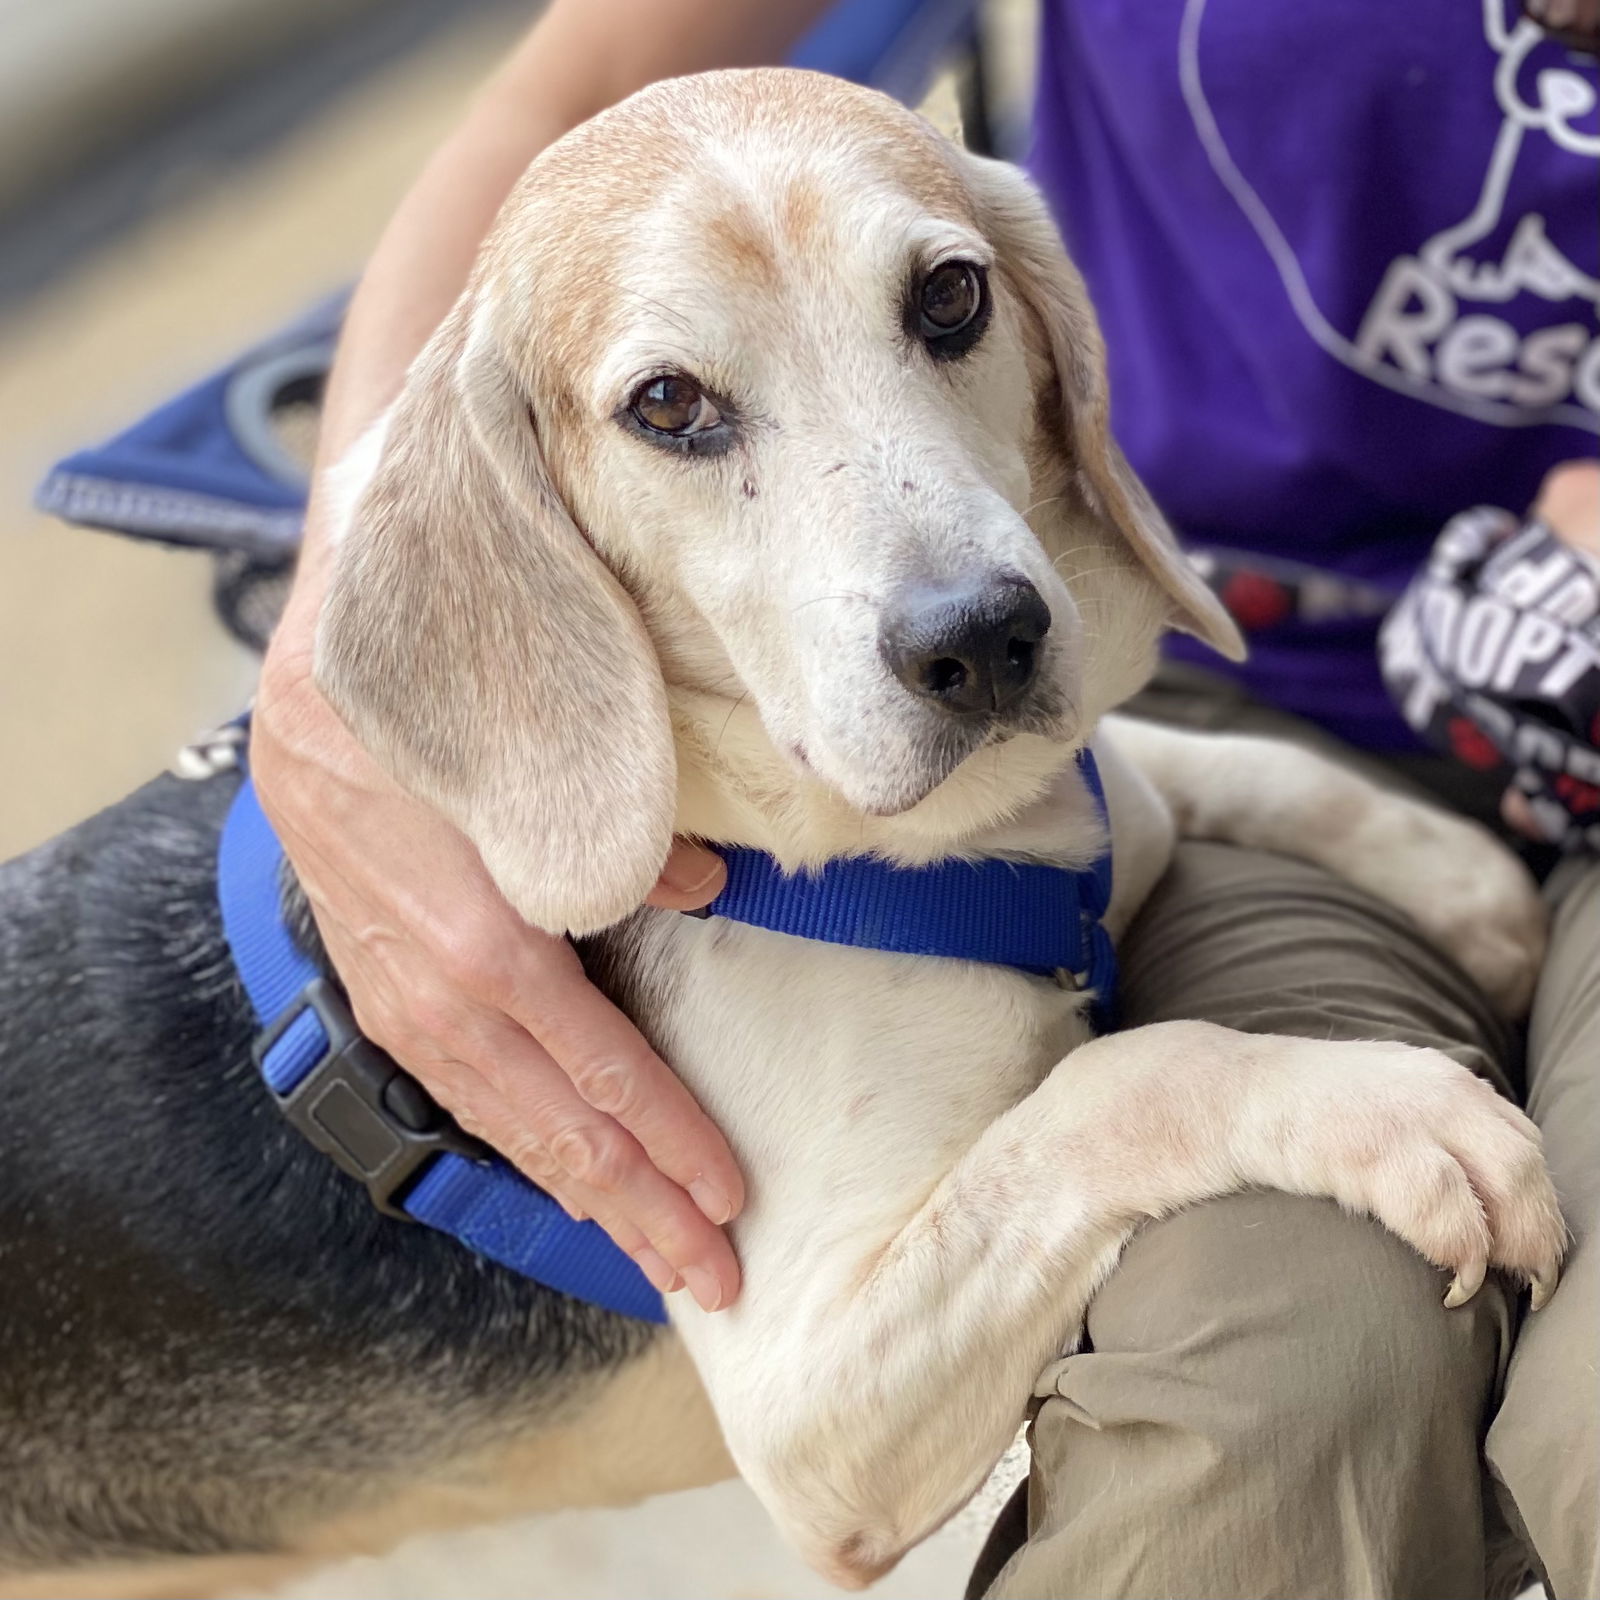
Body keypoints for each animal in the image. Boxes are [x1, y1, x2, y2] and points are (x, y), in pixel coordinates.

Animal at [0, 65, 1568, 1600]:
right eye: (667, 403)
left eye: (951, 296)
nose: (981, 641)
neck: (862, 851)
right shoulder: (808, 1403)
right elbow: (1117, 1082)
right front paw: (1392, 1114)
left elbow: (1206, 775)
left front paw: (1460, 882)